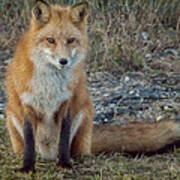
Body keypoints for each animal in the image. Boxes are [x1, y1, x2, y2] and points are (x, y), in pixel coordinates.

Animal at [5, 0, 180, 172]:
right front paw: (27, 167)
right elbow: (29, 142)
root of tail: (48, 155)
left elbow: (64, 139)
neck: (50, 84)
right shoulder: (28, 104)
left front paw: (65, 164)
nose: (63, 61)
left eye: (70, 40)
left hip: (84, 114)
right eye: (51, 40)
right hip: (12, 115)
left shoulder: (68, 102)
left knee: (75, 150)